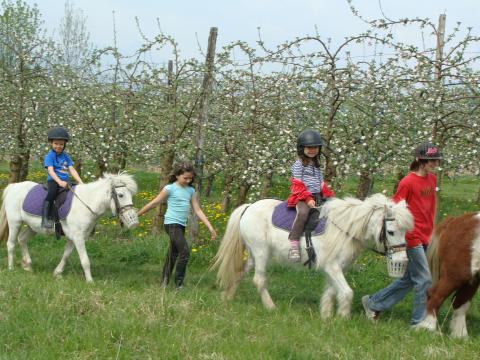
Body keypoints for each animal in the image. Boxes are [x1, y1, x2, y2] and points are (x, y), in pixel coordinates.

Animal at [0, 173, 139, 282]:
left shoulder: (74, 237)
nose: (133, 221)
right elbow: (85, 260)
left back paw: (28, 266)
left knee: (22, 239)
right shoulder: (78, 238)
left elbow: (66, 255)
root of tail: (13, 186)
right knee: (11, 244)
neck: (86, 203)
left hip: (32, 227)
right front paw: (90, 281)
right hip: (15, 223)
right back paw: (11, 268)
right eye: (120, 195)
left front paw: (57, 273)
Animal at [213, 194, 412, 318]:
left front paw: (326, 315)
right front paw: (343, 318)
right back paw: (271, 307)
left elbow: (332, 291)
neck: (344, 228)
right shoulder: (332, 266)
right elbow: (347, 292)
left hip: (254, 254)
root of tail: (248, 207)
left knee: (240, 272)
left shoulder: (334, 268)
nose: (402, 260)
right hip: (261, 252)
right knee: (259, 280)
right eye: (391, 231)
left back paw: (227, 297)